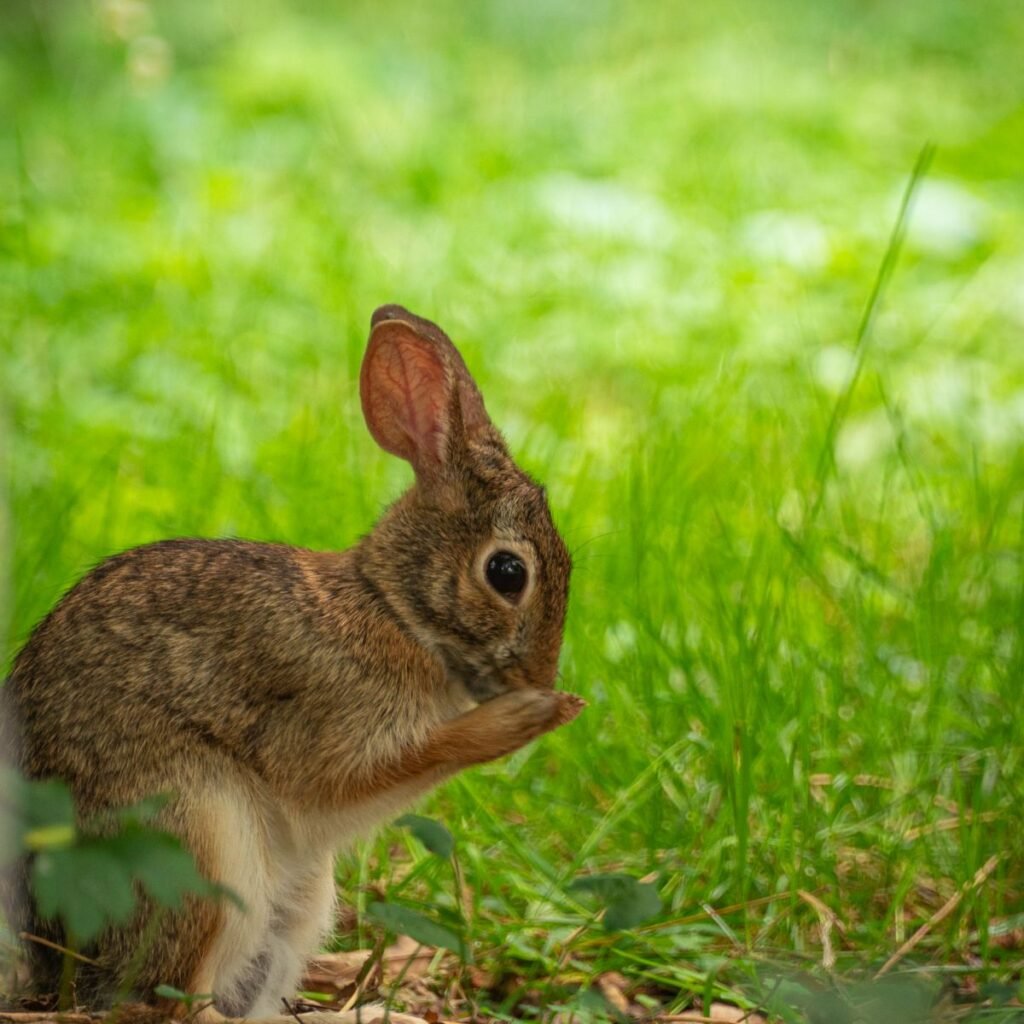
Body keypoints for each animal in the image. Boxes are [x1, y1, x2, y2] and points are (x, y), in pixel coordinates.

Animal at [1, 304, 584, 1024]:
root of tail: (53, 961)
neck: (394, 610)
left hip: (295, 901)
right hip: (195, 842)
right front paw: (534, 714)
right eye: (507, 573)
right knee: (169, 999)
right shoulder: (325, 728)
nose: (540, 677)